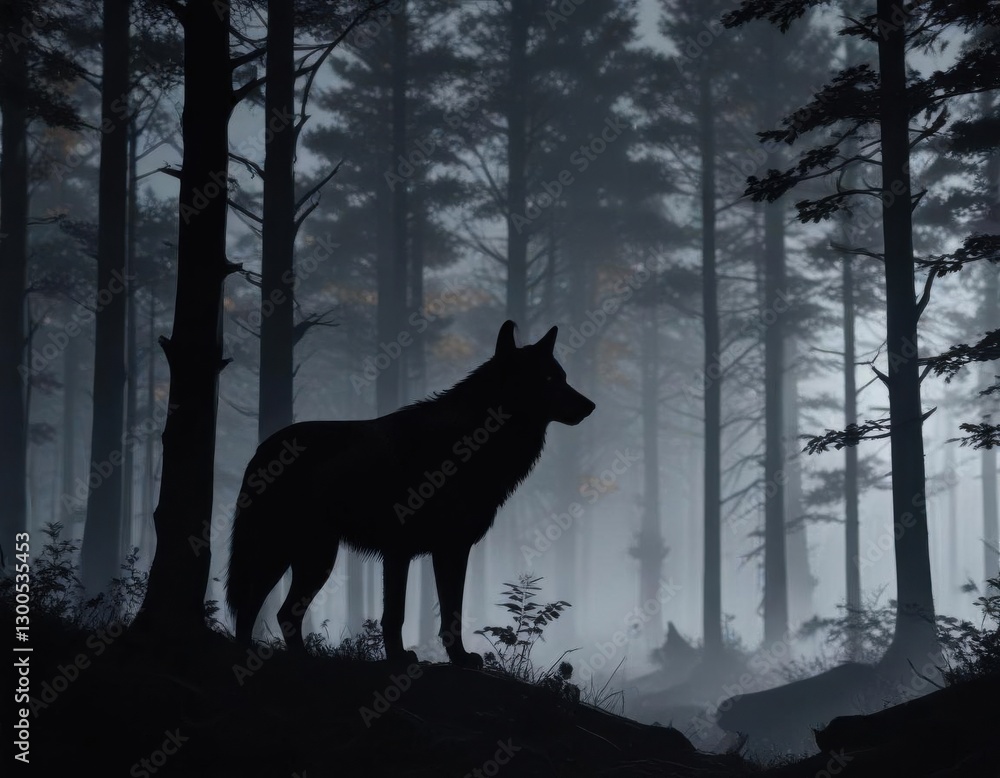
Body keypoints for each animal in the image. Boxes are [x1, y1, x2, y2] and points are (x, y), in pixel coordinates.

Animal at [226, 320, 595, 667]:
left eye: (563, 377)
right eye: (548, 379)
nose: (590, 405)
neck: (471, 443)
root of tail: (261, 449)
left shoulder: (445, 549)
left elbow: (447, 613)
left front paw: (455, 658)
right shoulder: (413, 549)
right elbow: (401, 614)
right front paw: (405, 658)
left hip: (304, 556)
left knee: (272, 610)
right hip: (305, 556)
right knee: (260, 607)